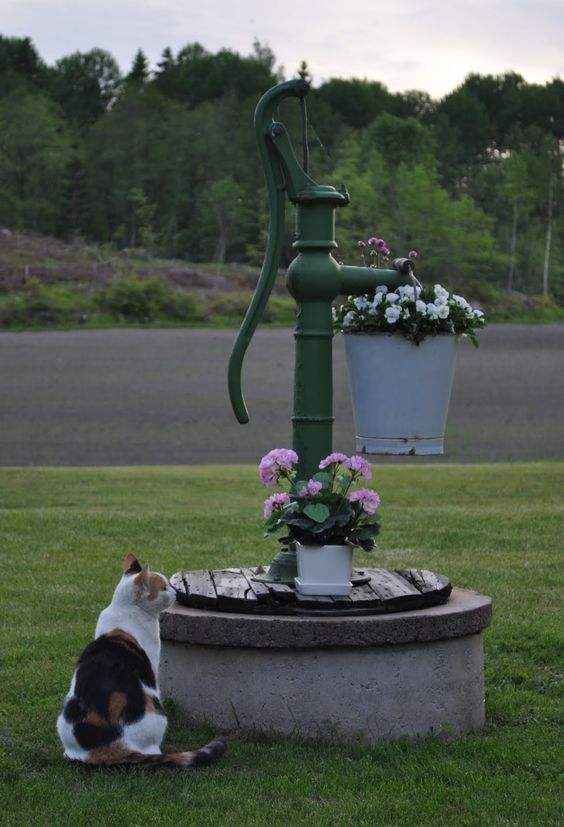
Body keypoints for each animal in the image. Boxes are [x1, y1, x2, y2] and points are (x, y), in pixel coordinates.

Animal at [56, 556, 225, 768]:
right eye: (163, 587)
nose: (175, 592)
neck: (124, 610)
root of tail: (106, 749)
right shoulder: (153, 665)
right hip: (156, 711)